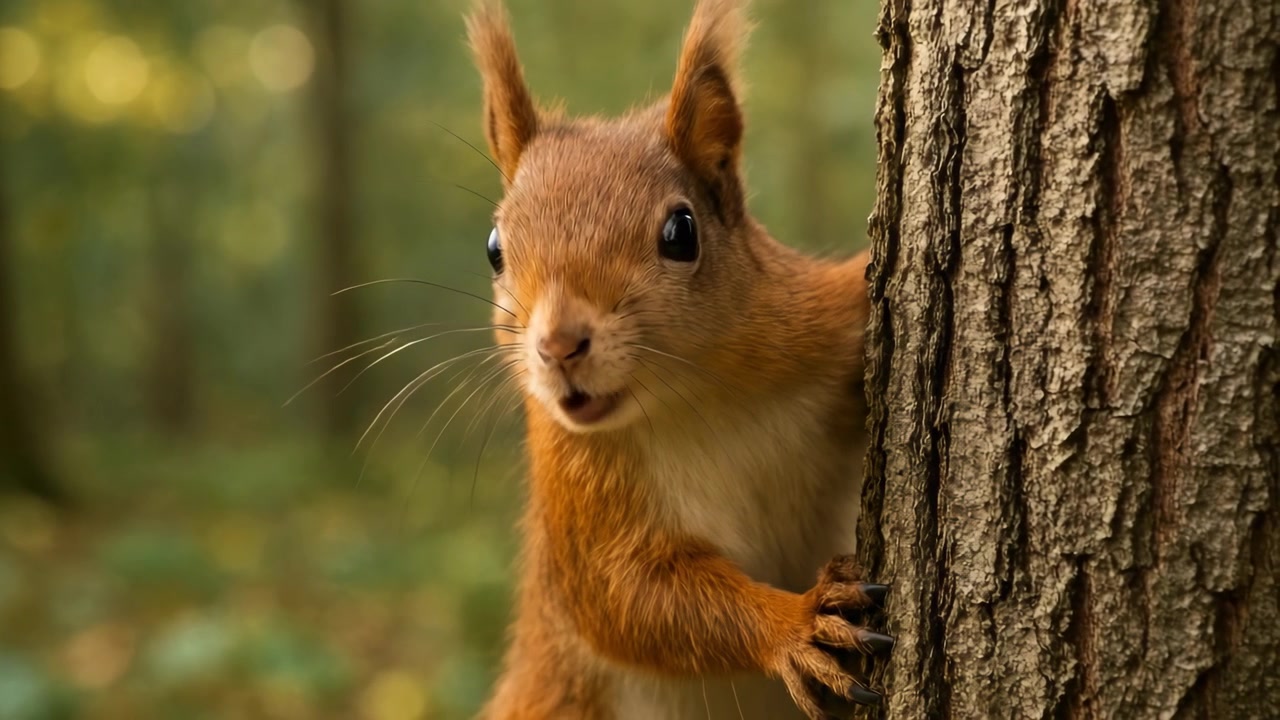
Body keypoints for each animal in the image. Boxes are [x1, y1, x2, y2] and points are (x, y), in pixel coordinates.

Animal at [462, 1, 892, 718]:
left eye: (681, 232)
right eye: (495, 247)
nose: (558, 345)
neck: (697, 397)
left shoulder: (820, 322)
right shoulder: (575, 487)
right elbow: (628, 598)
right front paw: (797, 624)